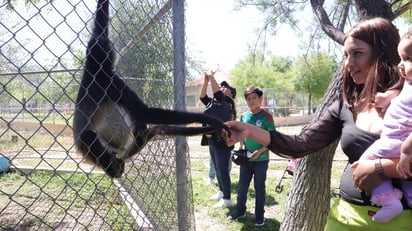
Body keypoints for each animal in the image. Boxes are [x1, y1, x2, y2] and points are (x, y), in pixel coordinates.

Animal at [73, 0, 230, 179]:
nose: (113, 48)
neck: (93, 70)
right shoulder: (111, 80)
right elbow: (144, 112)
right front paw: (208, 119)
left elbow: (100, 25)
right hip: (105, 147)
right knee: (88, 135)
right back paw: (113, 169)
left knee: (149, 129)